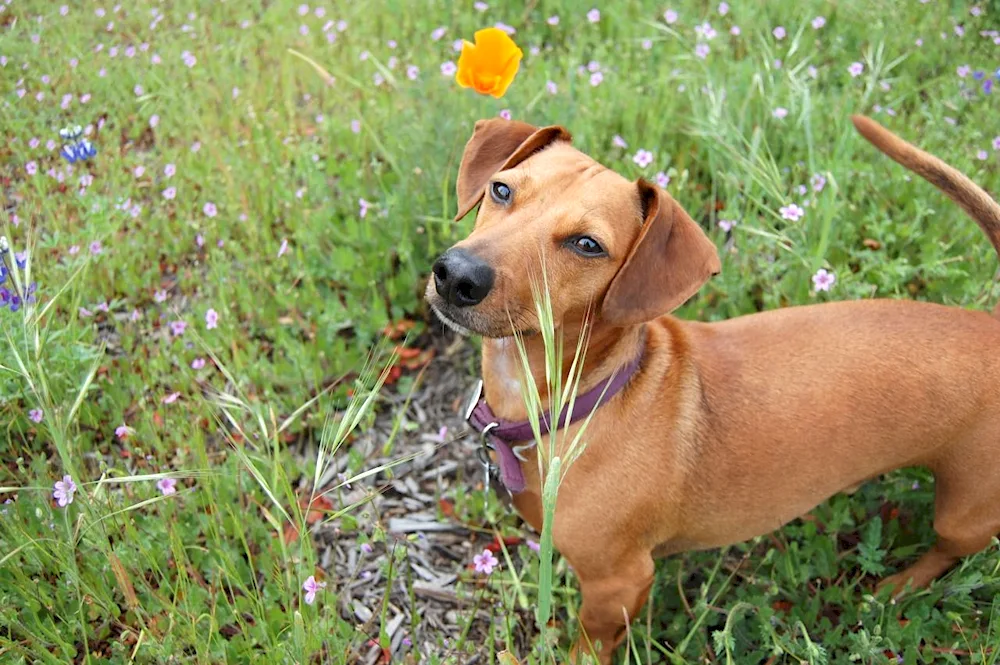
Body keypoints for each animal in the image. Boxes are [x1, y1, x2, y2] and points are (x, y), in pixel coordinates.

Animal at [424, 116, 1000, 660]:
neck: (582, 403)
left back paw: (902, 585)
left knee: (950, 549)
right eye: (501, 190)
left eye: (587, 245)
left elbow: (589, 644)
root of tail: (993, 326)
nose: (456, 275)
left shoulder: (620, 582)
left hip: (964, 515)